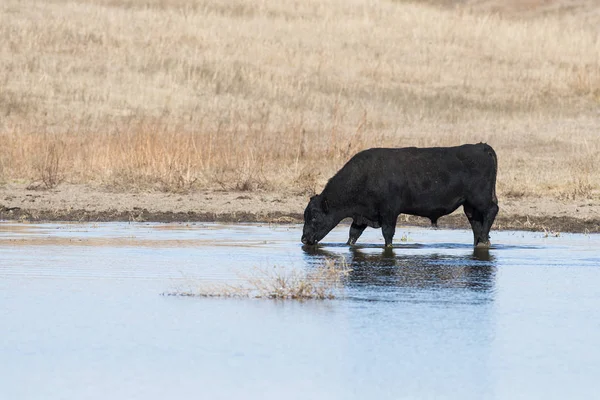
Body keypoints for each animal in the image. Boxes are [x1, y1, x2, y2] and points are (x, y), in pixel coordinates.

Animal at [302, 144, 500, 247]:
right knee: (476, 222)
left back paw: (483, 241)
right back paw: (480, 241)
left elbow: (388, 234)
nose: (304, 239)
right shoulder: (363, 216)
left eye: (314, 217)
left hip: (480, 198)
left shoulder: (389, 212)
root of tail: (481, 147)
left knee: (492, 210)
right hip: (469, 205)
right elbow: (353, 234)